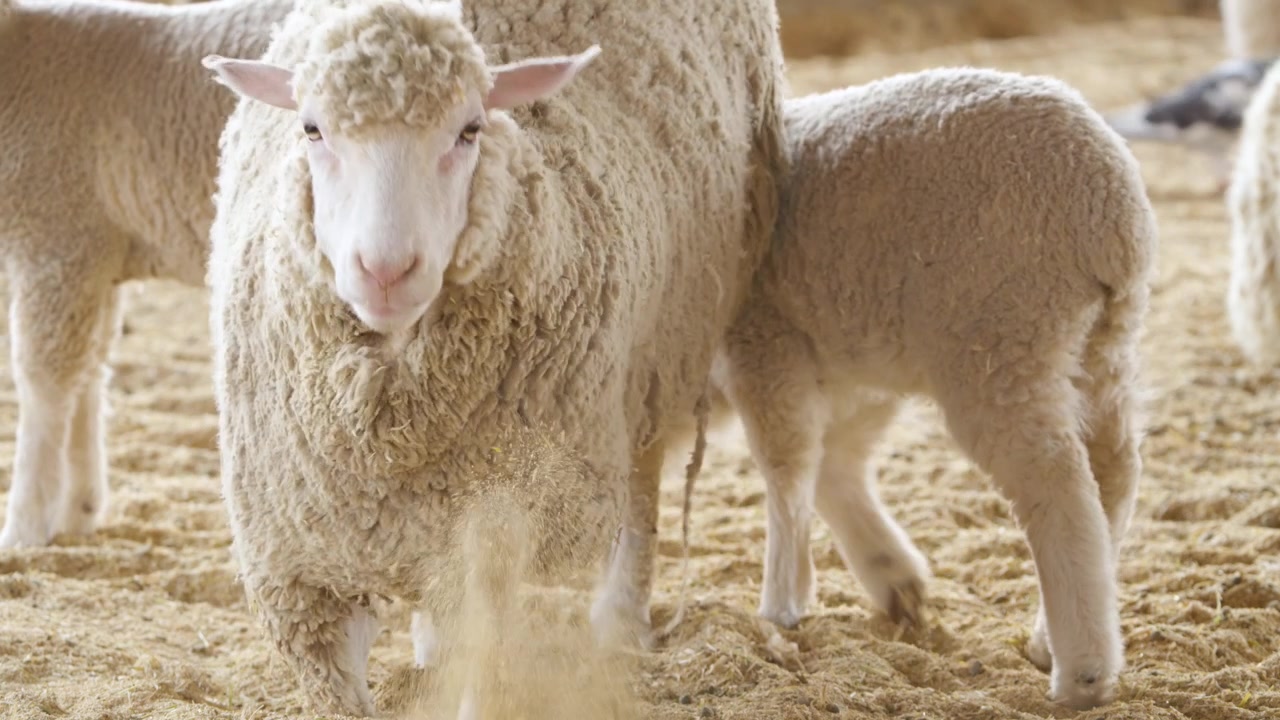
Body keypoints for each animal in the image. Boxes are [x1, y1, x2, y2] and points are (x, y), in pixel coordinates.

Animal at [0, 0, 292, 549]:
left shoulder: (56, 238)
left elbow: (42, 381)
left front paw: (23, 527)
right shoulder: (96, 254)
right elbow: (90, 371)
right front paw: (78, 510)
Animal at [200, 0, 786, 714]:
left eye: (469, 130)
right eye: (312, 129)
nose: (386, 270)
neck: (389, 440)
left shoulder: (496, 548)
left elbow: (482, 674)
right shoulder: (300, 576)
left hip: (654, 357)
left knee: (641, 490)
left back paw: (621, 622)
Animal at [711, 67, 1157, 710]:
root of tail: (1113, 210)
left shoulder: (764, 340)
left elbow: (788, 468)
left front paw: (782, 603)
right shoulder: (847, 367)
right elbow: (831, 462)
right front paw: (889, 577)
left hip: (1001, 337)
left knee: (1059, 485)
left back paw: (1082, 672)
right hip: (1100, 345)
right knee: (1113, 470)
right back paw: (1052, 638)